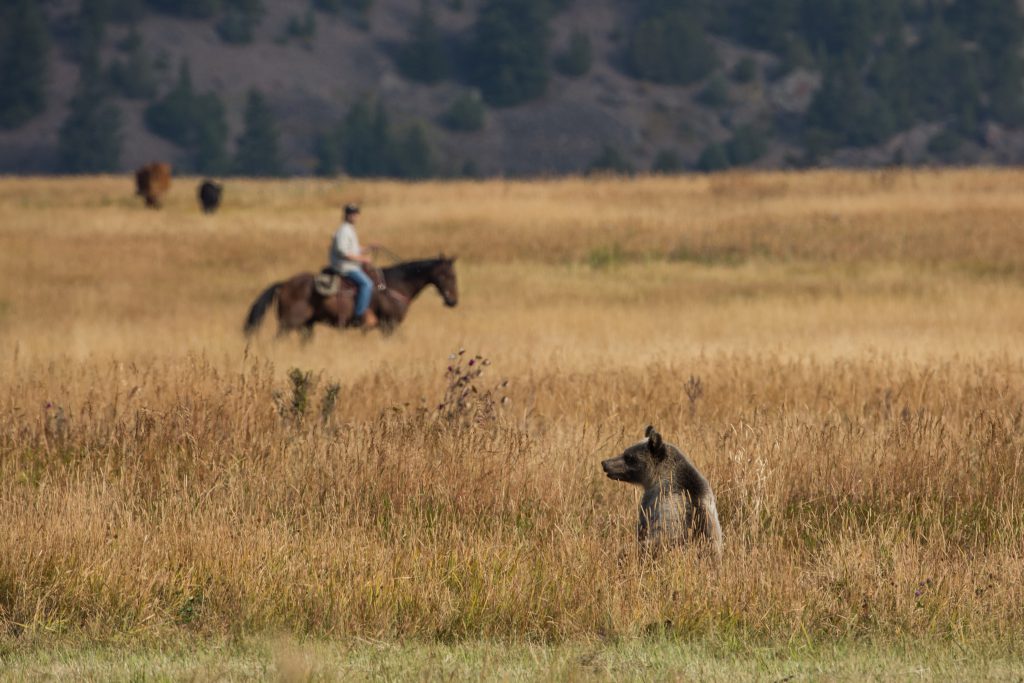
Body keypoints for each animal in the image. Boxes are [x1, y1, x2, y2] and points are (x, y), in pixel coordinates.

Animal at [242, 255, 456, 339]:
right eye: (449, 275)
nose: (453, 300)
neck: (396, 285)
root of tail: (284, 284)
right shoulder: (389, 325)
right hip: (289, 324)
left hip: (307, 326)